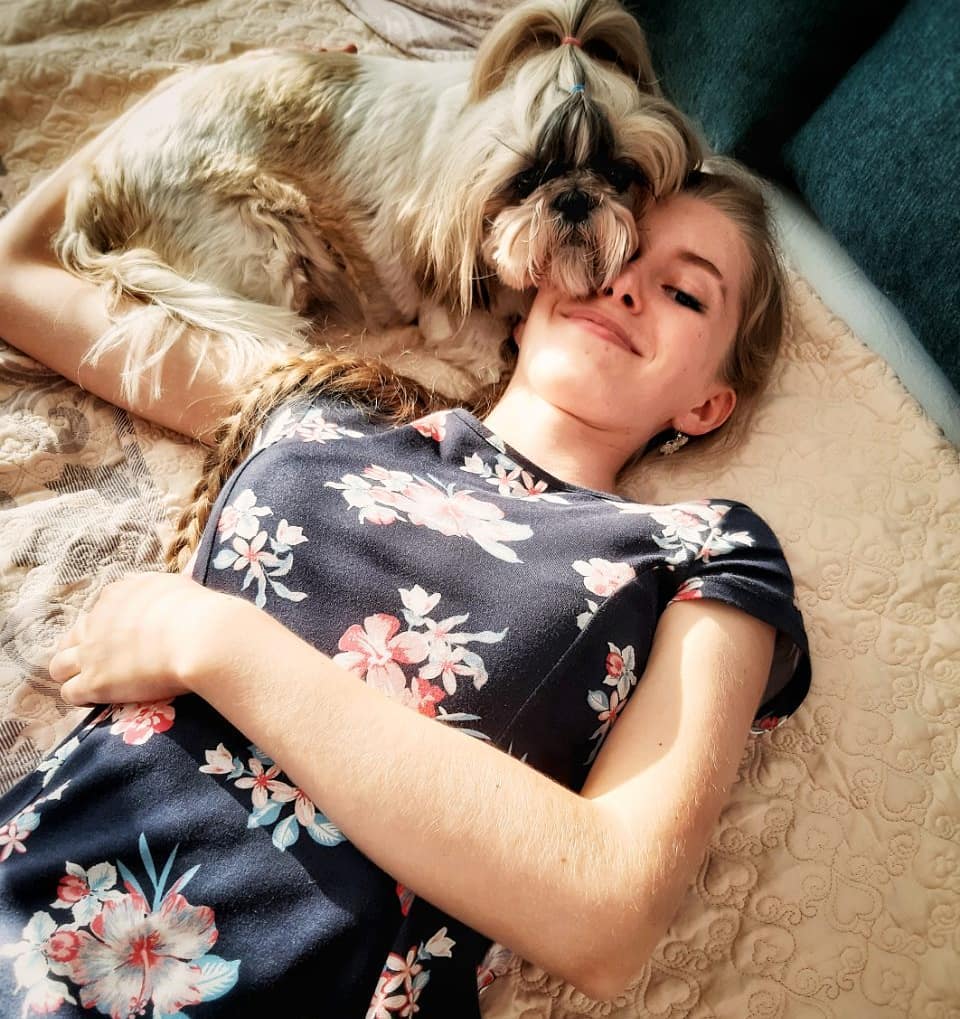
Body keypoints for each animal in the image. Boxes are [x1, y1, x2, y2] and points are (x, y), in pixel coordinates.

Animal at [54, 0, 697, 397]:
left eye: (619, 172)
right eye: (525, 180)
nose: (574, 199)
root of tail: (98, 179)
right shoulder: (453, 310)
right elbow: (482, 350)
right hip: (261, 251)